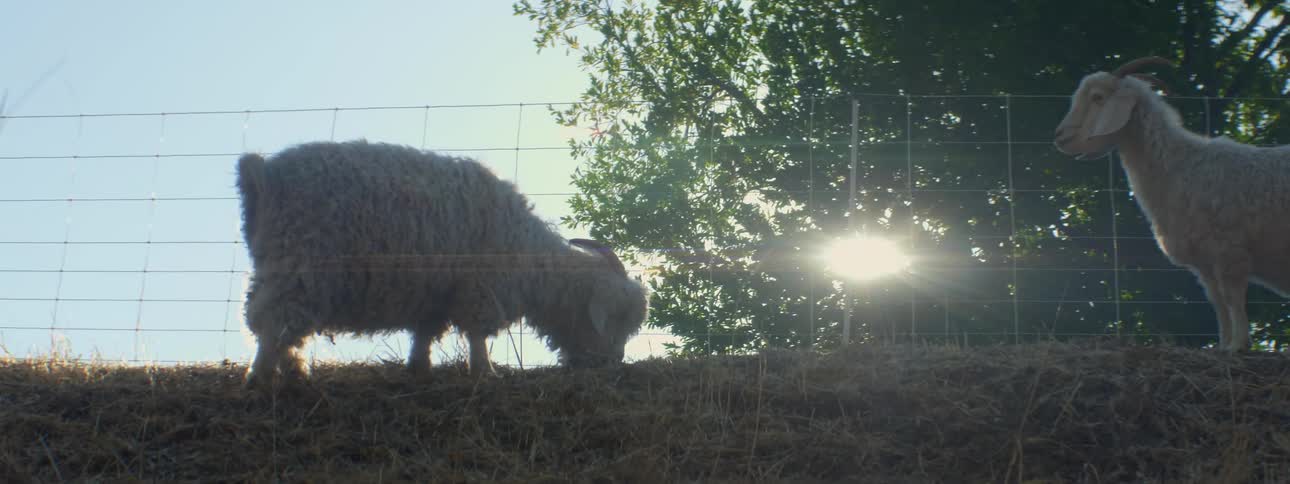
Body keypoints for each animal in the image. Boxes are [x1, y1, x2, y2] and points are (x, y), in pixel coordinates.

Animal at [235, 139, 650, 388]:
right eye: (616, 319)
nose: (612, 363)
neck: (531, 258)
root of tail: (263, 175)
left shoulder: (435, 293)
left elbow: (425, 332)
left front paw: (418, 367)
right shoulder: (480, 288)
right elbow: (477, 333)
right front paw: (486, 372)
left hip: (283, 265)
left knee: (279, 322)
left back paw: (293, 371)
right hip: (298, 263)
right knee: (272, 320)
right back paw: (260, 376)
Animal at [1053, 56, 1290, 352]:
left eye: (1098, 97)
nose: (1060, 137)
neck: (1179, 164)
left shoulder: (1229, 250)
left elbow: (1232, 298)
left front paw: (1239, 345)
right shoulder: (1204, 262)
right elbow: (1218, 303)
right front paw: (1224, 346)